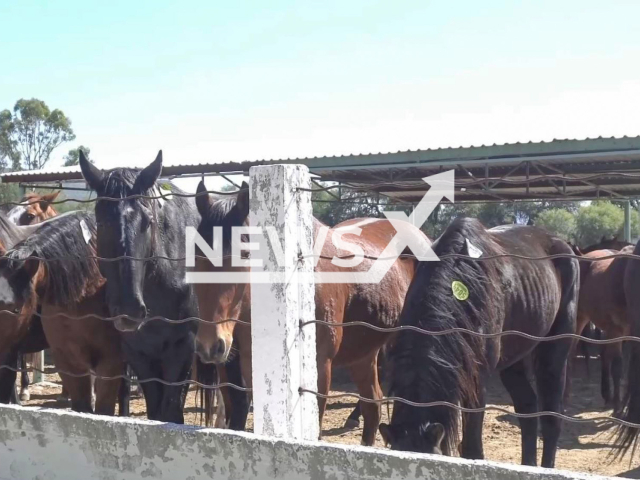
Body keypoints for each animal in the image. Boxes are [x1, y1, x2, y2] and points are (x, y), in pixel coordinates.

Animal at [79, 152, 248, 426]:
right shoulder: (139, 354)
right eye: (101, 223)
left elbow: (171, 413)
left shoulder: (182, 351)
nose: (129, 310)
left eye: (148, 222)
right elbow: (155, 413)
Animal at [192, 181, 428, 446]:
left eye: (244, 254)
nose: (210, 344)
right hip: (363, 354)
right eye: (195, 254)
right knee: (373, 407)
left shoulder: (319, 371)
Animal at [380, 219, 580, 466]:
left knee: (552, 417)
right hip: (515, 356)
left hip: (555, 349)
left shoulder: (476, 382)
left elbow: (472, 448)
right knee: (527, 408)